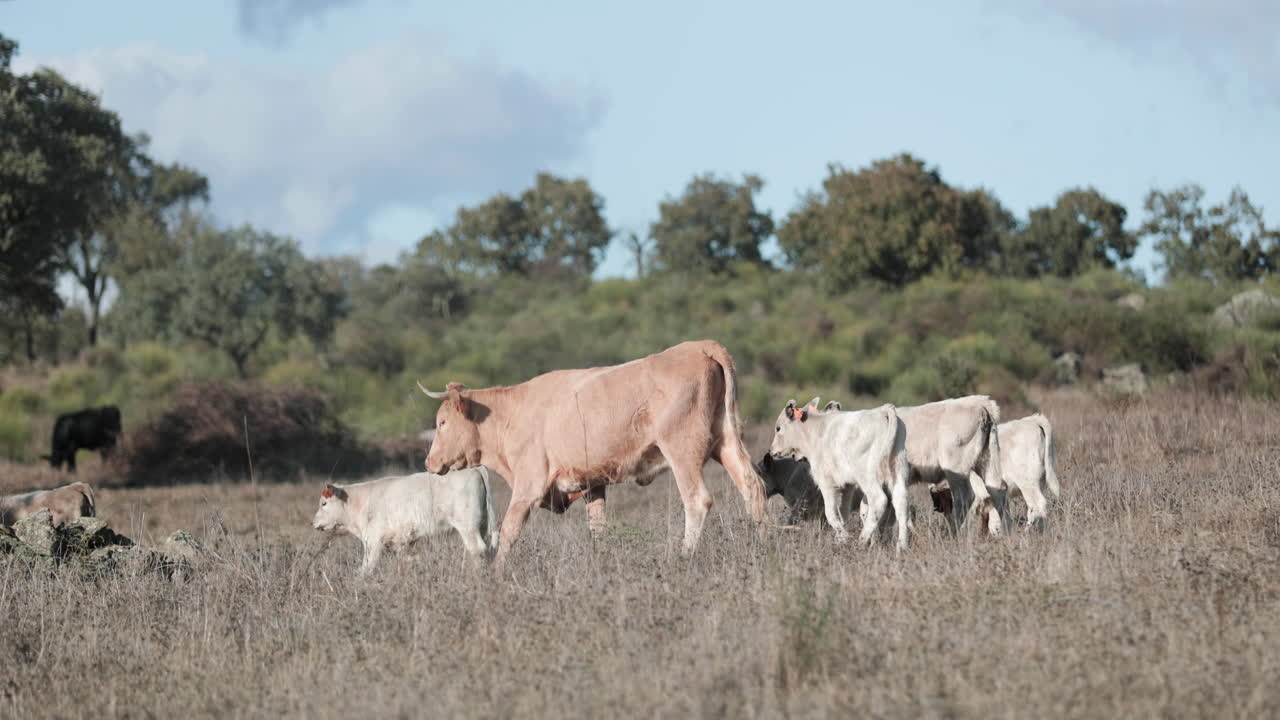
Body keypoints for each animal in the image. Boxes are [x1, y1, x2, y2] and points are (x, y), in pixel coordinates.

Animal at [312, 467, 498, 574]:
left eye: (324, 503)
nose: (313, 522)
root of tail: (474, 469)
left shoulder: (373, 541)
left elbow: (366, 568)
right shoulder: (401, 542)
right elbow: (409, 558)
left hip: (467, 526)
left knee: (477, 549)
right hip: (481, 525)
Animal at [419, 340, 769, 569]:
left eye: (442, 422)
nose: (428, 461)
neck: (509, 414)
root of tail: (699, 347)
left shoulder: (528, 485)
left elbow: (509, 531)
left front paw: (499, 573)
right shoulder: (592, 483)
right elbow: (598, 527)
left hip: (682, 448)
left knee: (697, 500)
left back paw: (683, 557)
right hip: (725, 441)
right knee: (753, 486)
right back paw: (765, 543)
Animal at [768, 398, 911, 549]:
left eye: (778, 428)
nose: (771, 450)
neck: (815, 431)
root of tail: (882, 410)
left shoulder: (827, 483)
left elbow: (830, 514)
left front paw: (844, 537)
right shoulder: (847, 485)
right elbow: (843, 512)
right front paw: (839, 539)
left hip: (868, 477)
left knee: (879, 500)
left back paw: (862, 540)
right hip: (898, 471)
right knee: (901, 503)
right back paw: (902, 547)